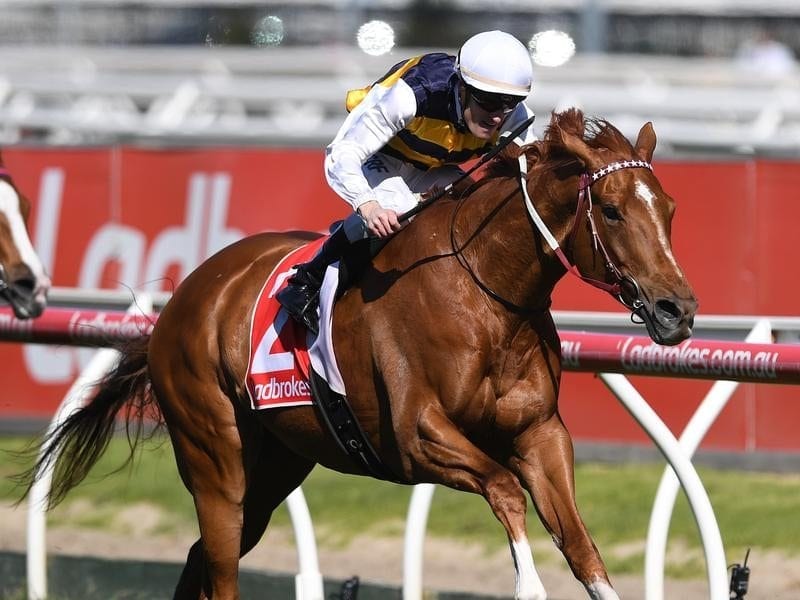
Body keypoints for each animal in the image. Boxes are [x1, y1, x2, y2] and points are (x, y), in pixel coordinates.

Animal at [23, 109, 692, 600]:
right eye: (611, 210)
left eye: (669, 208)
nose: (677, 310)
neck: (485, 291)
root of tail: (185, 297)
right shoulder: (417, 435)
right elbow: (503, 488)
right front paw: (527, 583)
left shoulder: (540, 433)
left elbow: (581, 546)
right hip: (215, 457)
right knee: (221, 562)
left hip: (279, 463)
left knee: (201, 561)